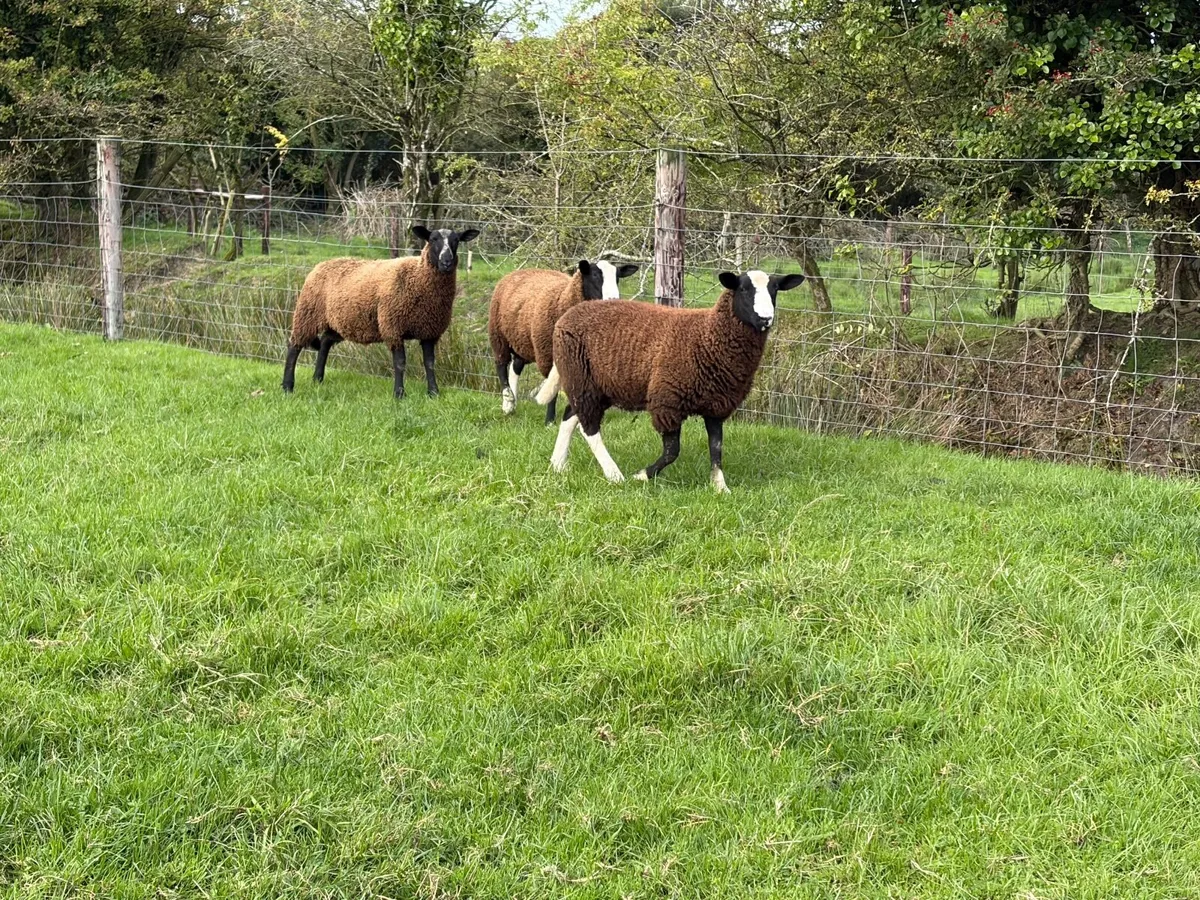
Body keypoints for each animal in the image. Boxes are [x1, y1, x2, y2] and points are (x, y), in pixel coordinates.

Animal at [281, 225, 479, 398]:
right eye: (432, 239)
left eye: (456, 240)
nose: (447, 262)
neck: (417, 276)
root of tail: (321, 265)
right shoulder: (393, 326)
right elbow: (400, 363)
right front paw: (399, 394)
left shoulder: (429, 331)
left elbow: (429, 363)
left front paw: (433, 393)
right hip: (308, 313)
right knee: (294, 346)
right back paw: (287, 386)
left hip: (339, 321)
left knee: (324, 343)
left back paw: (317, 378)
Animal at [488, 258, 638, 424]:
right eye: (595, 275)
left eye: (617, 278)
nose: (613, 300)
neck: (564, 298)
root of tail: (517, 272)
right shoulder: (547, 354)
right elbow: (553, 390)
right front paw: (549, 420)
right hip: (498, 335)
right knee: (501, 366)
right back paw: (507, 402)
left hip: (522, 340)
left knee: (516, 367)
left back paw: (512, 403)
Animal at [537, 269, 806, 492]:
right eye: (743, 289)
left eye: (775, 289)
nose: (765, 318)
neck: (708, 335)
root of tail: (568, 316)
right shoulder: (667, 401)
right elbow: (672, 452)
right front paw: (642, 476)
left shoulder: (717, 404)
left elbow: (716, 447)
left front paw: (720, 487)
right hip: (581, 379)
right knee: (588, 427)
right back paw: (614, 475)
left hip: (592, 383)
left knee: (570, 416)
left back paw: (558, 465)